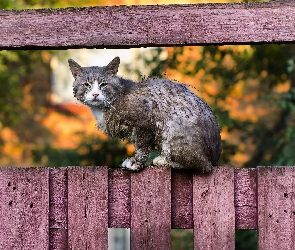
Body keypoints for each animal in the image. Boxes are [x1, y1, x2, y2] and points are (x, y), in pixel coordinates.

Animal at [69, 57, 222, 173]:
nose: (95, 94)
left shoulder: (144, 120)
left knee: (203, 166)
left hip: (173, 130)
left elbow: (142, 146)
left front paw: (136, 163)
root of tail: (215, 156)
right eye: (87, 85)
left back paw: (164, 160)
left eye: (103, 84)